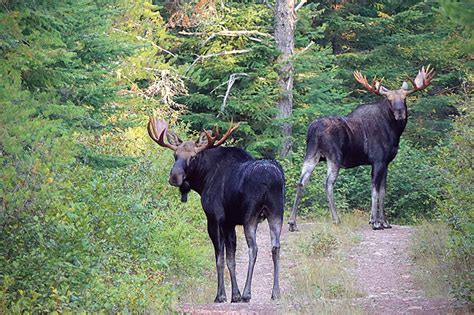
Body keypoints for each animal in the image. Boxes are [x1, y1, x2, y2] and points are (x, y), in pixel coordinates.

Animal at [146, 118, 284, 304]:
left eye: (193, 157)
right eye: (175, 155)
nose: (175, 176)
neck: (203, 180)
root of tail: (271, 179)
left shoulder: (215, 218)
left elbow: (219, 258)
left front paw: (221, 295)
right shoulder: (229, 223)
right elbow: (231, 259)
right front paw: (235, 295)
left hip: (251, 216)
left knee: (254, 248)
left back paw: (248, 293)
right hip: (277, 213)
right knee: (275, 247)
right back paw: (275, 292)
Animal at [286, 65, 436, 231]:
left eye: (404, 98)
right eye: (389, 100)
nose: (400, 113)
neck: (395, 131)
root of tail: (313, 130)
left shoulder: (386, 162)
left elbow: (383, 191)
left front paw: (385, 222)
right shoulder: (378, 160)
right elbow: (375, 190)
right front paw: (374, 222)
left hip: (312, 154)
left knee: (301, 182)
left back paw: (292, 222)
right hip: (334, 156)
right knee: (328, 184)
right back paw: (336, 220)